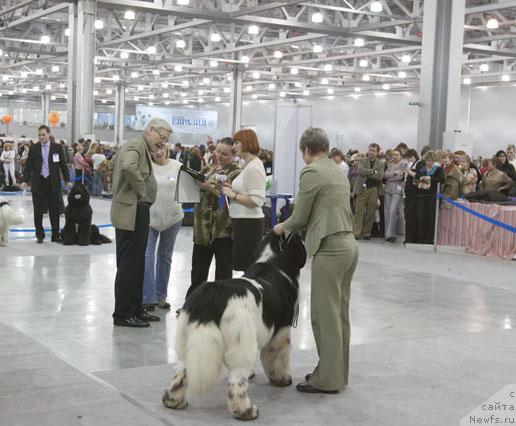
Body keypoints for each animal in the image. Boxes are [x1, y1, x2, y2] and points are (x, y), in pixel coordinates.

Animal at [163, 231, 304, 422]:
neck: (273, 260)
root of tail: (211, 294)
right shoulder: (280, 332)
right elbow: (278, 358)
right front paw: (282, 380)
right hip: (239, 344)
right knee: (237, 381)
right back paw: (247, 411)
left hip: (185, 340)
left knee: (180, 370)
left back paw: (173, 402)